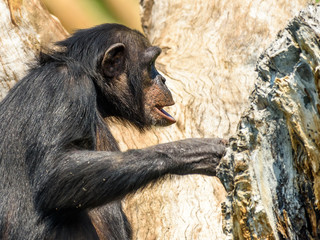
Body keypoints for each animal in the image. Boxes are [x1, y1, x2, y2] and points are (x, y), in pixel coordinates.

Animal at [0, 23, 225, 240]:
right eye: (150, 64)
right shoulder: (66, 85)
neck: (94, 85)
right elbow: (56, 171)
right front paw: (194, 151)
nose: (163, 79)